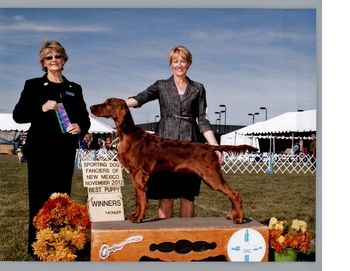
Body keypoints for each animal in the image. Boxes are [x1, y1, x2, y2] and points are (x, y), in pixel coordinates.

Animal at [90, 99, 258, 224]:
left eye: (107, 103)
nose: (91, 107)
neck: (128, 134)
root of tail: (210, 146)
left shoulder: (139, 173)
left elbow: (142, 199)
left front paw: (138, 218)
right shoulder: (134, 175)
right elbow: (139, 198)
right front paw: (135, 215)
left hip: (211, 176)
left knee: (234, 193)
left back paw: (239, 218)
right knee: (231, 194)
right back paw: (232, 215)